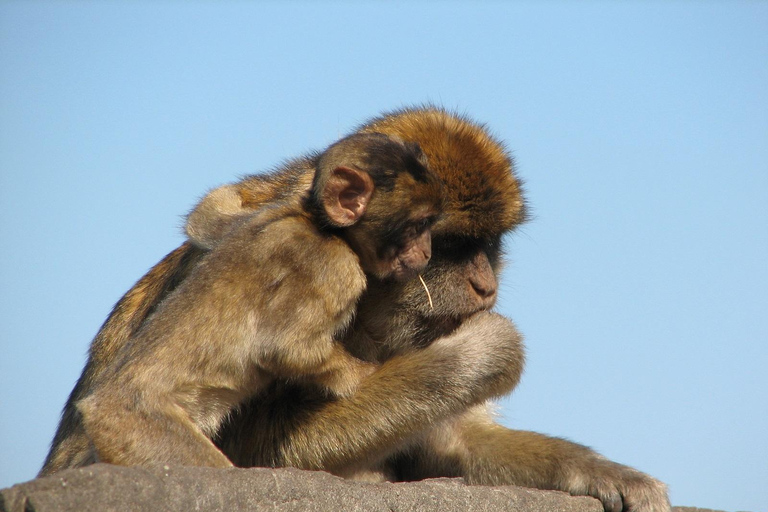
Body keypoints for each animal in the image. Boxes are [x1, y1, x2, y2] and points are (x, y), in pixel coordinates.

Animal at [73, 134, 444, 470]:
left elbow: (207, 220)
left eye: (429, 226)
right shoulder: (334, 268)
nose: (426, 252)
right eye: (418, 225)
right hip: (136, 429)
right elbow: (284, 348)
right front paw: (366, 375)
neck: (319, 224)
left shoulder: (257, 216)